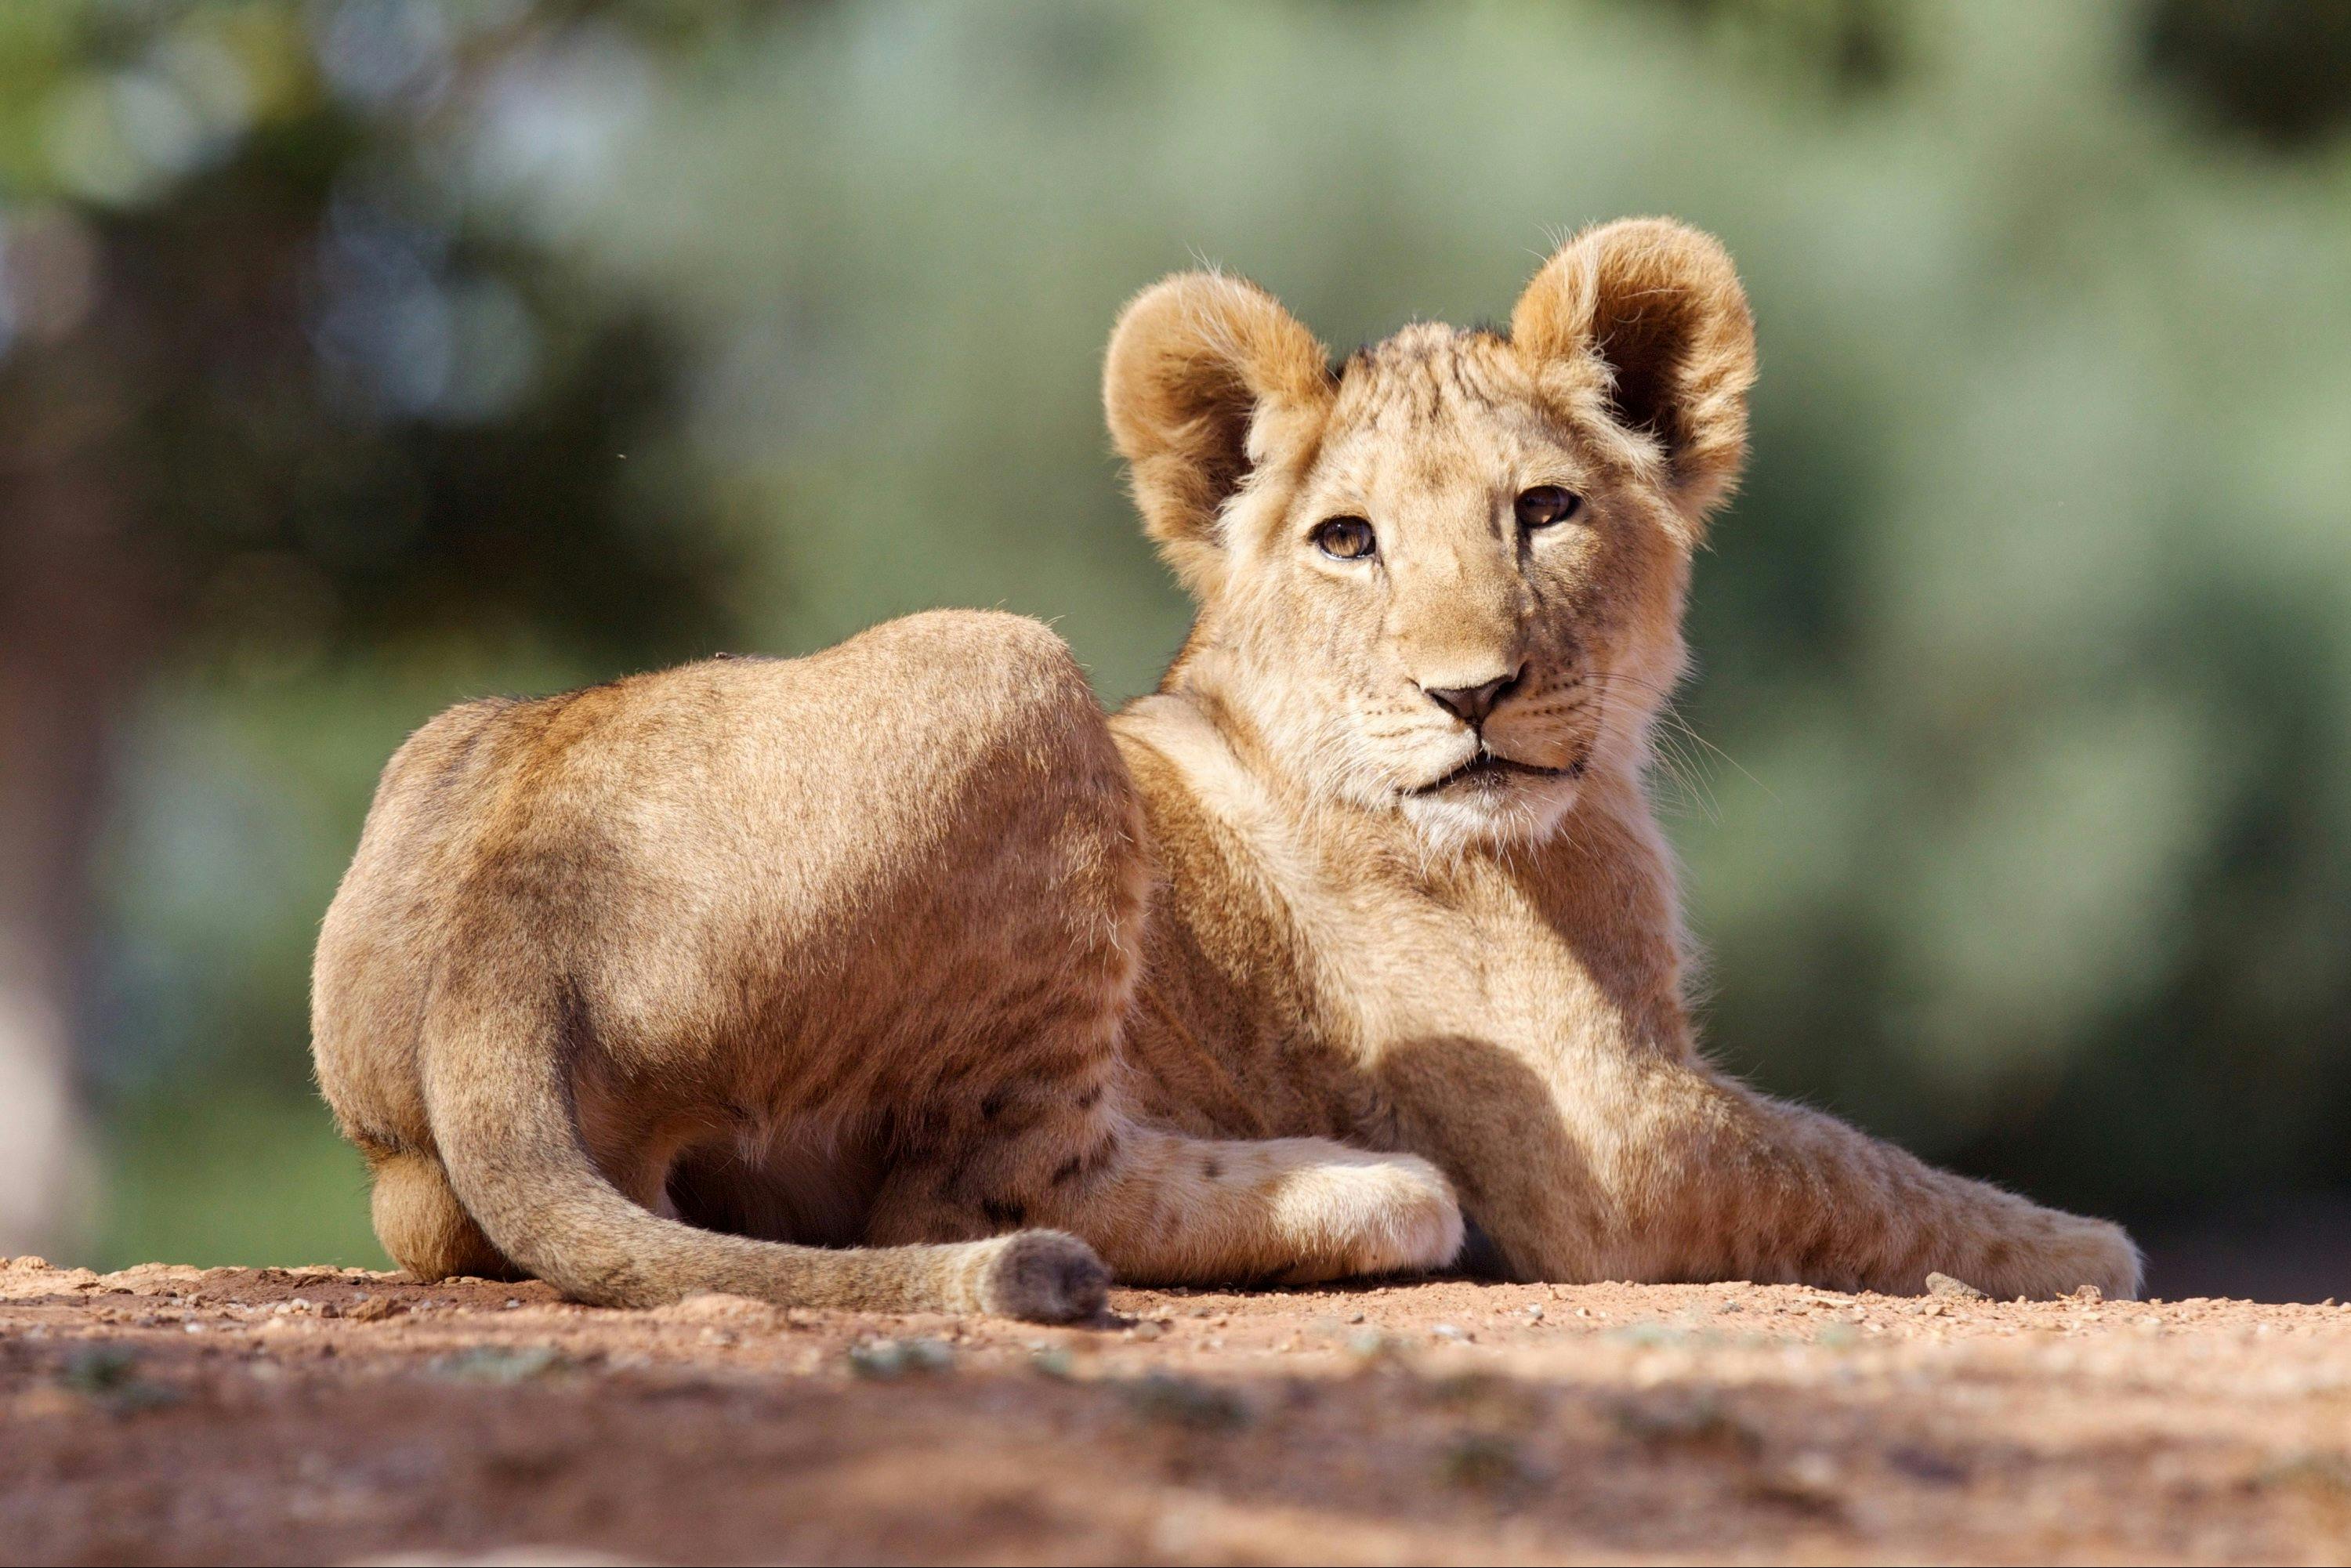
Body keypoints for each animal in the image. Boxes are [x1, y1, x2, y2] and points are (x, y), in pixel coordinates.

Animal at [311, 219, 2141, 1321]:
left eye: (1544, 510)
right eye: (1347, 539)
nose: (1475, 692)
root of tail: (508, 938)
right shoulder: (1618, 1145)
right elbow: (1871, 1169)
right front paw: (2088, 1243)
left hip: (447, 784)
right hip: (1008, 668)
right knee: (969, 1195)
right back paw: (1367, 1193)